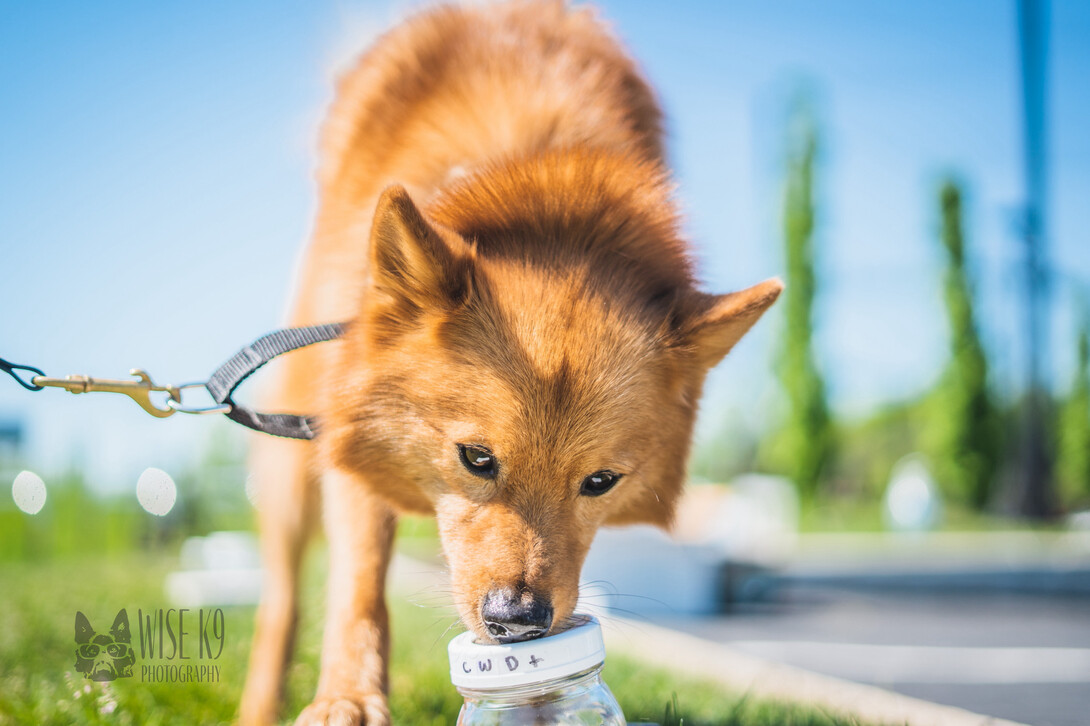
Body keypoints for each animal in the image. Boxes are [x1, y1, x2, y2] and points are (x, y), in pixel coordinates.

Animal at [238, 2, 784, 719]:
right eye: (476, 458)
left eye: (600, 482)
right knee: (280, 600)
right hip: (290, 463)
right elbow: (358, 581)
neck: (538, 199)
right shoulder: (349, 431)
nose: (517, 623)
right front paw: (349, 699)